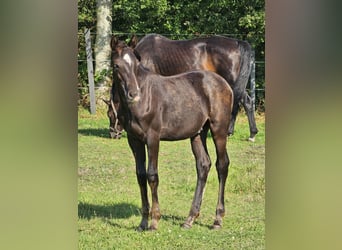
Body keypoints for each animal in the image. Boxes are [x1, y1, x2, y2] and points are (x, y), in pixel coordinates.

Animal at [106, 33, 256, 141]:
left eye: (110, 114)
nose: (113, 134)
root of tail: (237, 42)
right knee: (247, 102)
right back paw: (249, 133)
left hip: (231, 82)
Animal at [111, 37, 234, 230]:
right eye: (116, 65)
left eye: (136, 64)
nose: (134, 93)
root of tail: (225, 84)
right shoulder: (134, 140)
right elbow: (140, 176)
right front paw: (143, 222)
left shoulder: (153, 138)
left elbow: (152, 175)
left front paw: (154, 221)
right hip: (198, 133)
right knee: (203, 165)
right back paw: (190, 218)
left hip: (219, 130)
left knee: (222, 165)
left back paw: (217, 219)